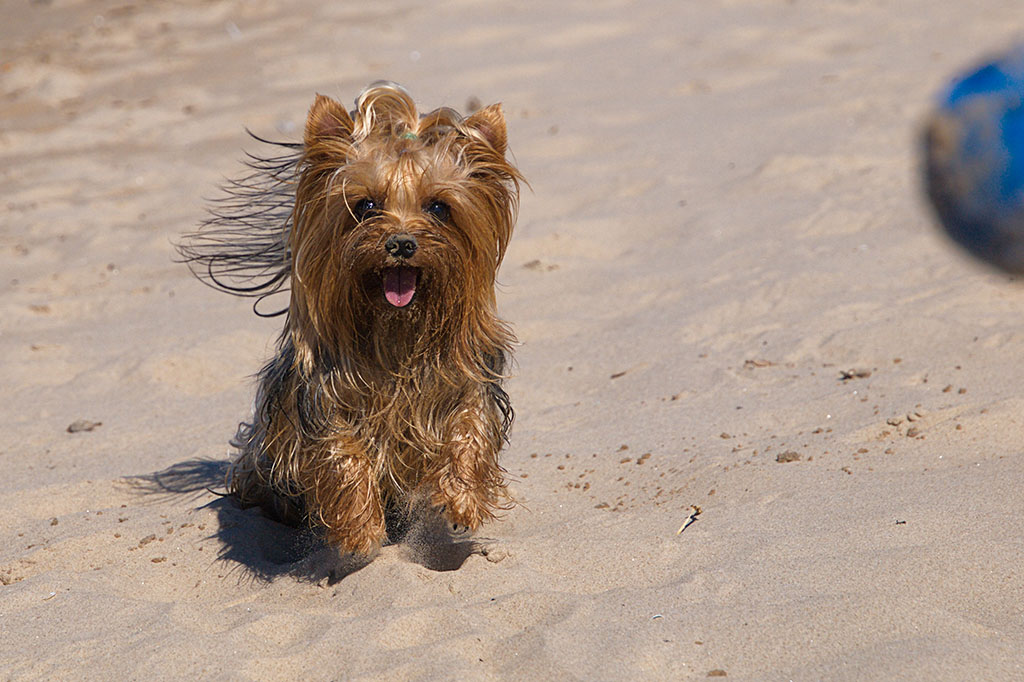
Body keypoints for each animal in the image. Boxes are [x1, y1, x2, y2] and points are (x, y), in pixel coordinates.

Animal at [178, 83, 520, 552]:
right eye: (366, 205)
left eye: (438, 208)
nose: (401, 243)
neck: (397, 331)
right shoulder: (322, 398)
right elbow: (340, 449)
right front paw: (360, 529)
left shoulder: (466, 384)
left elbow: (469, 430)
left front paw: (463, 504)